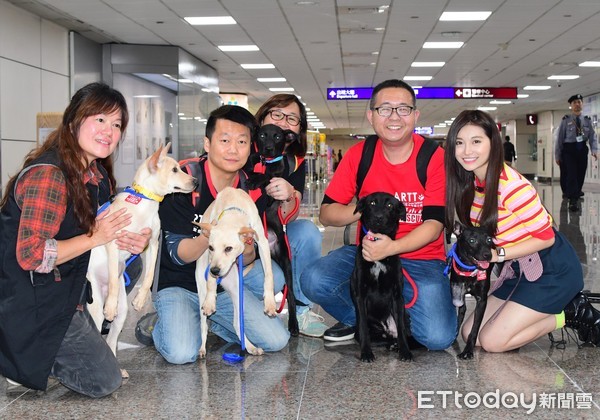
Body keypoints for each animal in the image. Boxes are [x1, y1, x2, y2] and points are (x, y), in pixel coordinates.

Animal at [86, 143, 197, 376]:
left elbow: (149, 275)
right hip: (96, 308)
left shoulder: (152, 243)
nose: (196, 182)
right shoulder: (113, 242)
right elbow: (113, 274)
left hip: (122, 315)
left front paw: (140, 299)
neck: (145, 200)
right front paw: (111, 304)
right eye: (175, 170)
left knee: (111, 340)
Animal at [196, 187, 278, 358]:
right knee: (203, 324)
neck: (233, 208)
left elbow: (269, 274)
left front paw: (270, 303)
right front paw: (210, 301)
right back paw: (202, 348)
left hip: (237, 291)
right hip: (200, 286)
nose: (215, 271)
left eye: (229, 248)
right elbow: (210, 284)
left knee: (236, 322)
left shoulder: (262, 242)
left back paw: (250, 347)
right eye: (211, 248)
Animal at [246, 124, 300, 334]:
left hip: (286, 262)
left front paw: (256, 179)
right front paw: (253, 170)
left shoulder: (273, 190)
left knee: (290, 294)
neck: (267, 162)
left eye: (277, 137)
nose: (268, 149)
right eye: (262, 135)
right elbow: (251, 165)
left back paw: (293, 324)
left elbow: (268, 178)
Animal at [352, 192, 412, 362]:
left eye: (390, 205)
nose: (378, 217)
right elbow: (364, 328)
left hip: (406, 315)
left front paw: (405, 352)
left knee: (400, 333)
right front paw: (366, 353)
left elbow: (401, 329)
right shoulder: (360, 295)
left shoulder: (398, 296)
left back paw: (397, 345)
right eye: (372, 203)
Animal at [448, 225, 494, 360]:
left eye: (489, 239)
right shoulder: (458, 295)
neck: (469, 270)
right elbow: (459, 315)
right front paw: (454, 335)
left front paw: (468, 350)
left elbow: (474, 329)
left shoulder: (482, 301)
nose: (488, 255)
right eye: (472, 240)